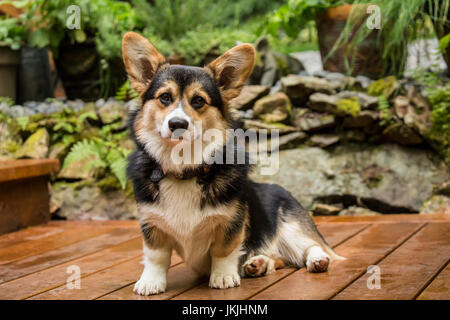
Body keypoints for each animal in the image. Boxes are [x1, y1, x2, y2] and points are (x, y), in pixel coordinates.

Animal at [121, 31, 342, 296]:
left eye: (198, 101)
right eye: (165, 97)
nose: (177, 124)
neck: (185, 168)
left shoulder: (231, 224)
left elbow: (224, 251)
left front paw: (223, 277)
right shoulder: (152, 224)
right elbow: (156, 256)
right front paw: (151, 281)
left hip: (292, 226)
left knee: (310, 247)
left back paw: (317, 260)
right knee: (277, 258)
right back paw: (258, 263)